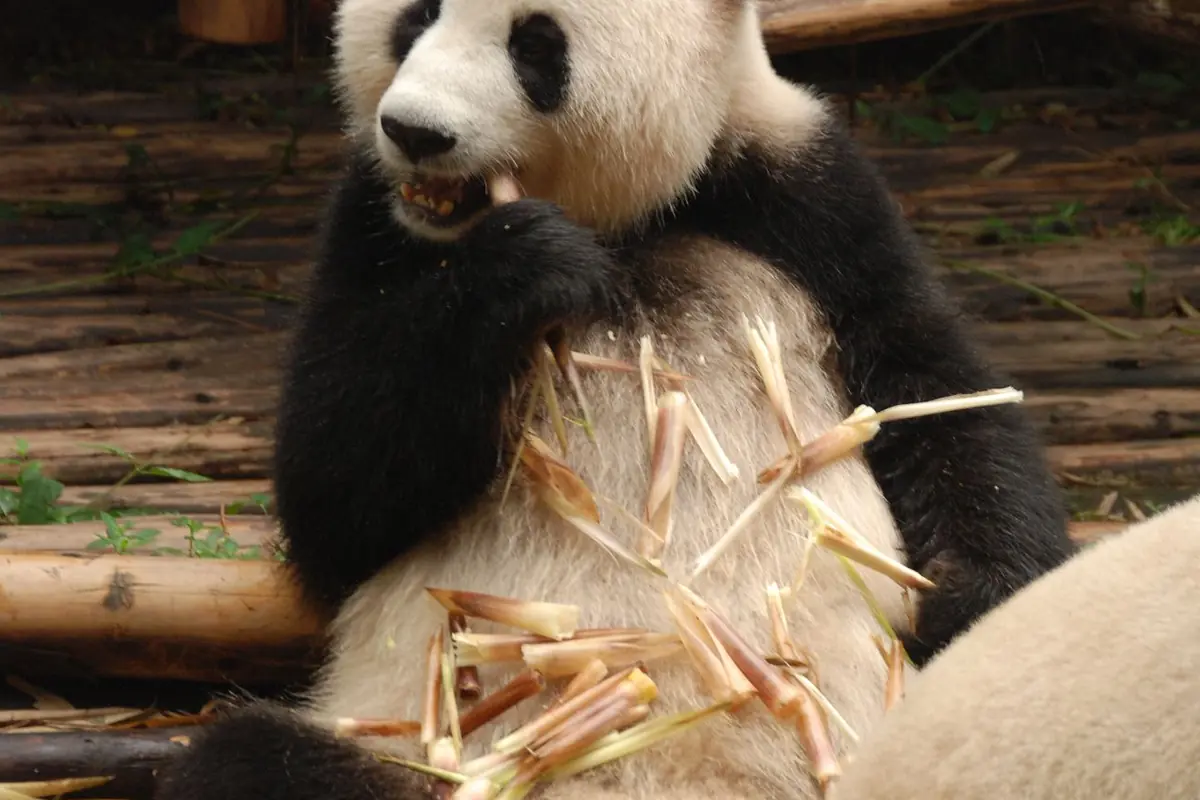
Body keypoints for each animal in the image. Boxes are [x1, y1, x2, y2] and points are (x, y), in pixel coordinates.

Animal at [154, 1, 1076, 799]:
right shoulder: (370, 223)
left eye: (535, 44)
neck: (623, 219)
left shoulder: (804, 197)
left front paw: (973, 596)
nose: (415, 131)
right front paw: (523, 266)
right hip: (418, 762)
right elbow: (332, 493)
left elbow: (935, 392)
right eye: (417, 13)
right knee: (250, 764)